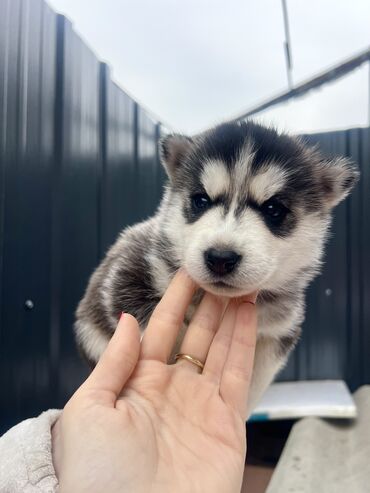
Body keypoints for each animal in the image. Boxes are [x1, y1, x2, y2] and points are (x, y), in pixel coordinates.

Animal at [76, 121, 358, 414]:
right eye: (201, 200)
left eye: (273, 209)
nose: (221, 258)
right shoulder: (125, 278)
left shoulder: (276, 336)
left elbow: (254, 384)